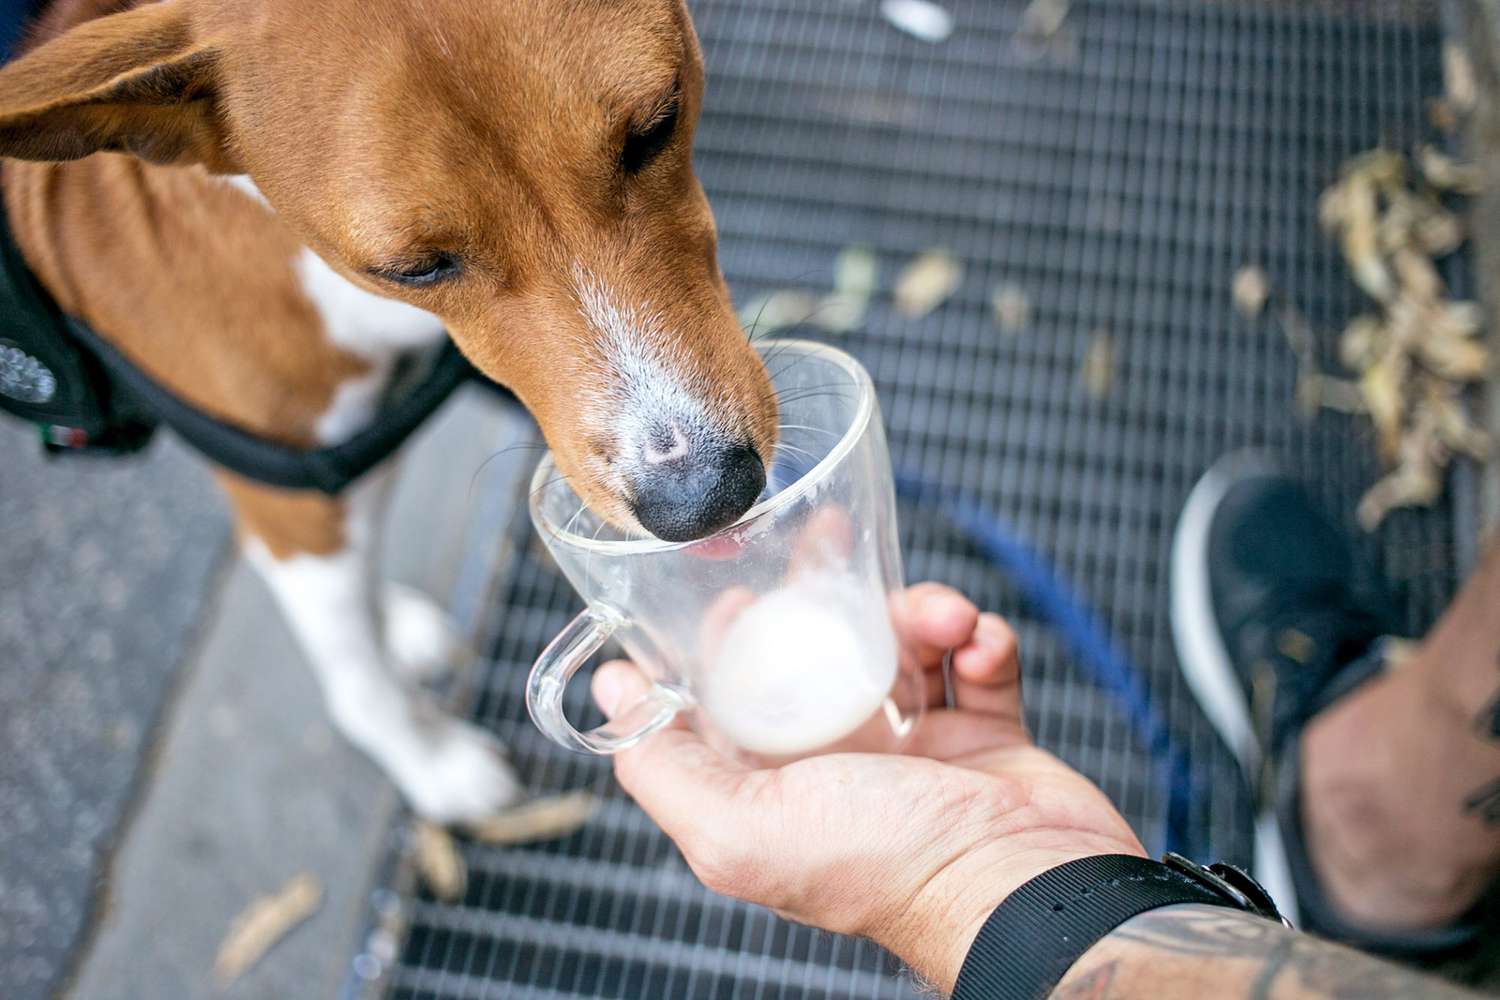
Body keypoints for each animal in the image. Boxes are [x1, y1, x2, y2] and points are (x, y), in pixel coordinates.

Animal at [0, 1, 774, 821]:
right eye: (415, 268)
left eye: (657, 125)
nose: (704, 498)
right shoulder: (289, 503)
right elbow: (358, 676)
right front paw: (430, 762)